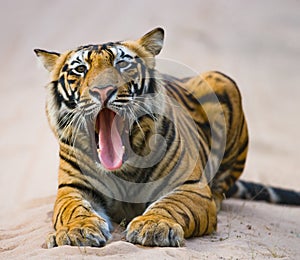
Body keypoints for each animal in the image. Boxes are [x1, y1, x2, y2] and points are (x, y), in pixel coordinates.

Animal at [34, 26, 298, 248]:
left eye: (122, 64)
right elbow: (72, 209)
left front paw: (153, 226)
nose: (103, 90)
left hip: (222, 81)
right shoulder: (73, 188)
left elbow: (172, 205)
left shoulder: (189, 186)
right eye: (80, 69)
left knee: (221, 186)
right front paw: (76, 230)